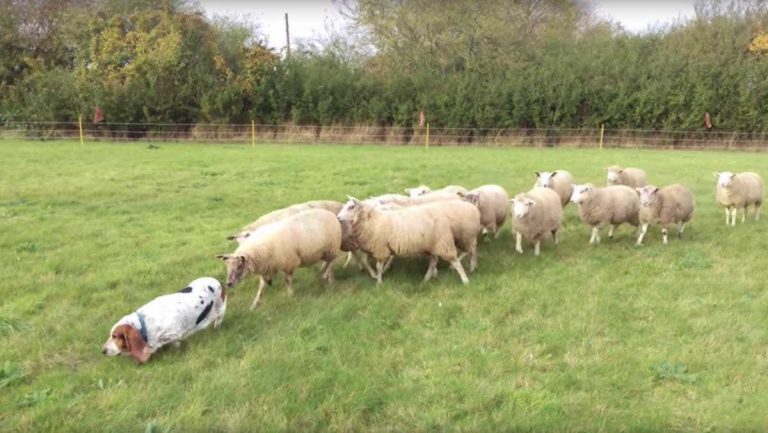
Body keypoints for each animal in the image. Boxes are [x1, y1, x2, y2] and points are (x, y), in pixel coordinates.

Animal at [337, 197, 469, 285]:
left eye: (351, 207)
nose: (338, 217)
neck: (374, 221)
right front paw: (379, 277)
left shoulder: (380, 248)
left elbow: (379, 266)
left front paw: (379, 282)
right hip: (429, 246)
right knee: (433, 262)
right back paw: (426, 279)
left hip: (443, 243)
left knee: (455, 262)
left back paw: (465, 280)